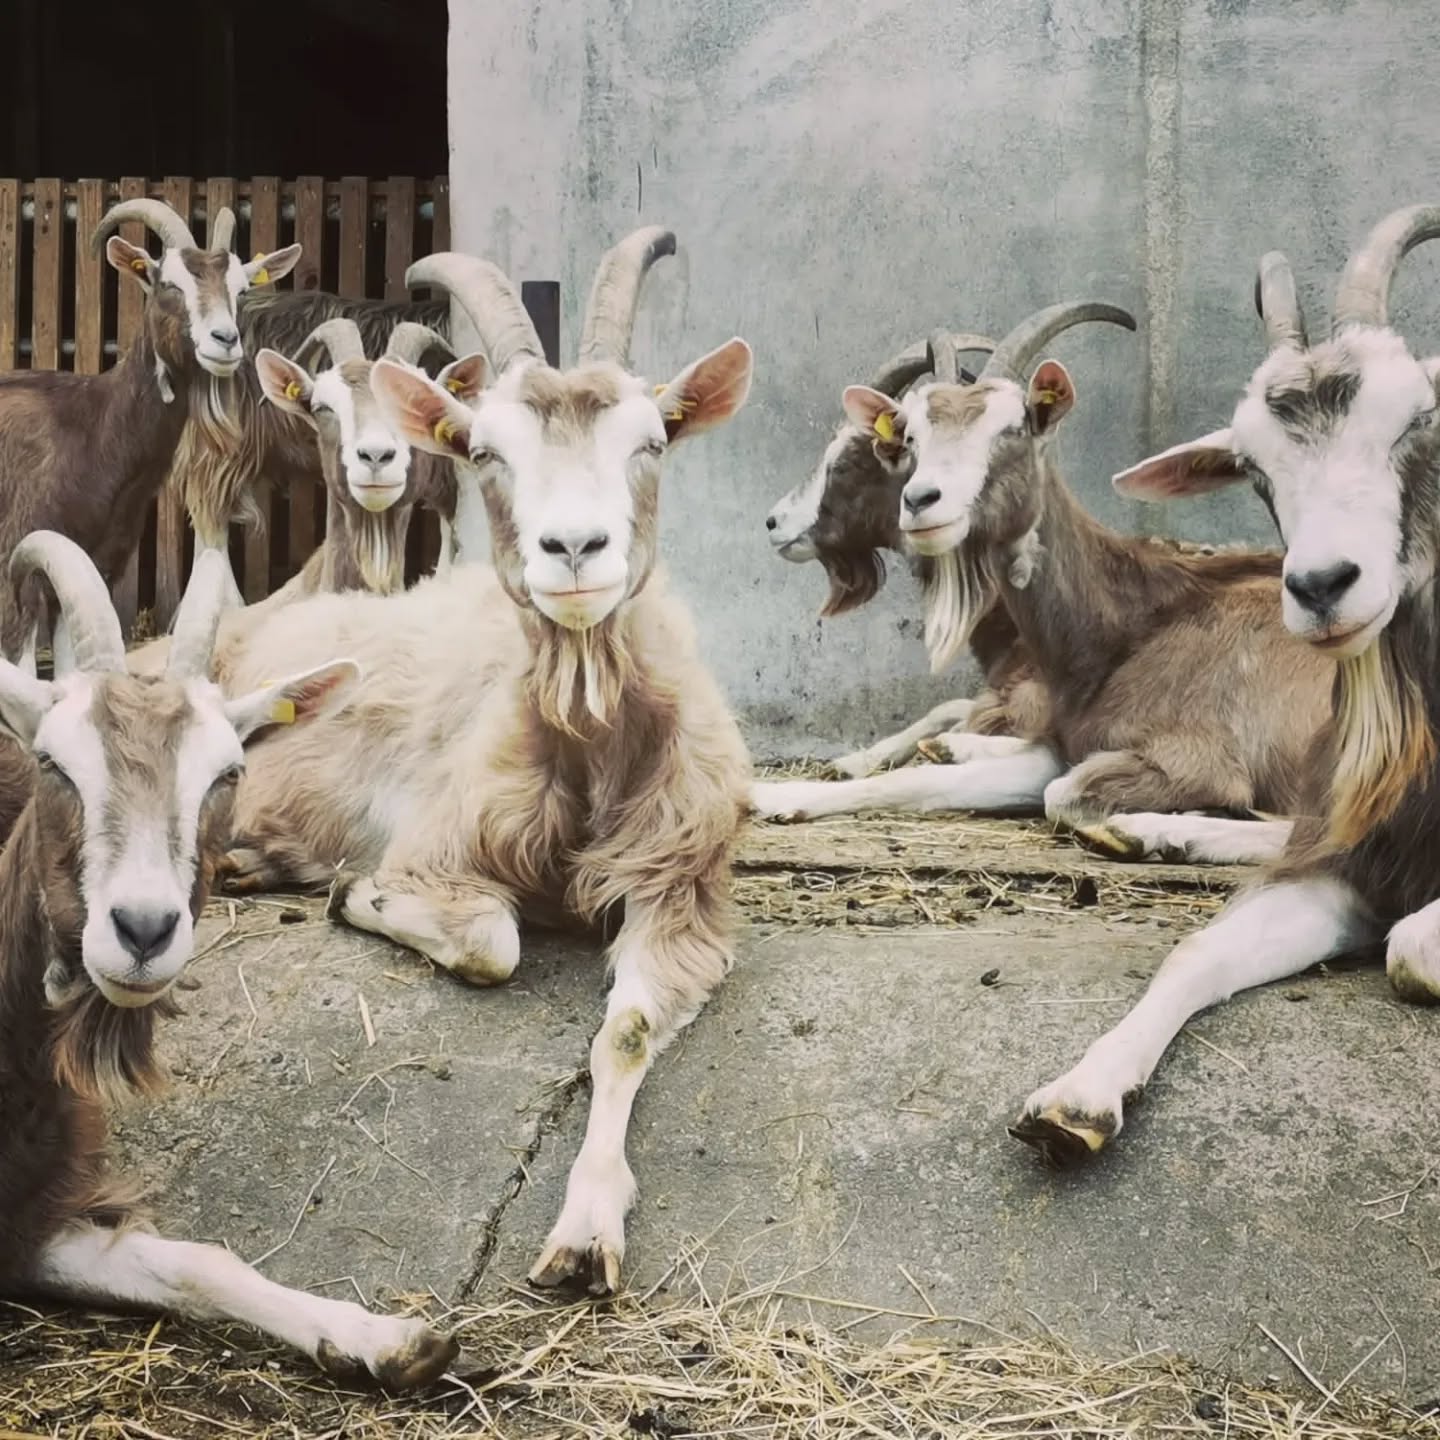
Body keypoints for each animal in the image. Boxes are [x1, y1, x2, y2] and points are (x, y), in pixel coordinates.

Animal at [0, 199, 299, 660]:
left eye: (241, 290)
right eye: (168, 284)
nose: (225, 340)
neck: (91, 430)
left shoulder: (94, 563)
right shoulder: (18, 572)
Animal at [0, 529, 457, 1386]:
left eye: (229, 771)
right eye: (51, 762)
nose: (143, 929)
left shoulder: (34, 1213)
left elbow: (196, 1264)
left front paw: (383, 1338)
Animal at [200, 229, 753, 1295]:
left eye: (651, 441)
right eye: (486, 451)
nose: (574, 547)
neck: (589, 752)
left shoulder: (682, 887)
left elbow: (626, 1028)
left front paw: (585, 1230)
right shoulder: (439, 843)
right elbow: (492, 943)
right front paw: (357, 895)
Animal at [752, 303, 1326, 868]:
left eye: (1011, 430)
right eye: (911, 438)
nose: (776, 522)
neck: (1132, 623)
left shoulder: (1192, 754)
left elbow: (1043, 787)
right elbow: (940, 743)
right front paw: (825, 774)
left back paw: (1152, 830)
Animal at [1010, 205, 1440, 1164]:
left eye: (1417, 419)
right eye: (1256, 465)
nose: (1321, 586)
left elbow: (1411, 948)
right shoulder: (1341, 864)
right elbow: (1196, 953)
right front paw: (1076, 1098)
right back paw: (1152, 833)